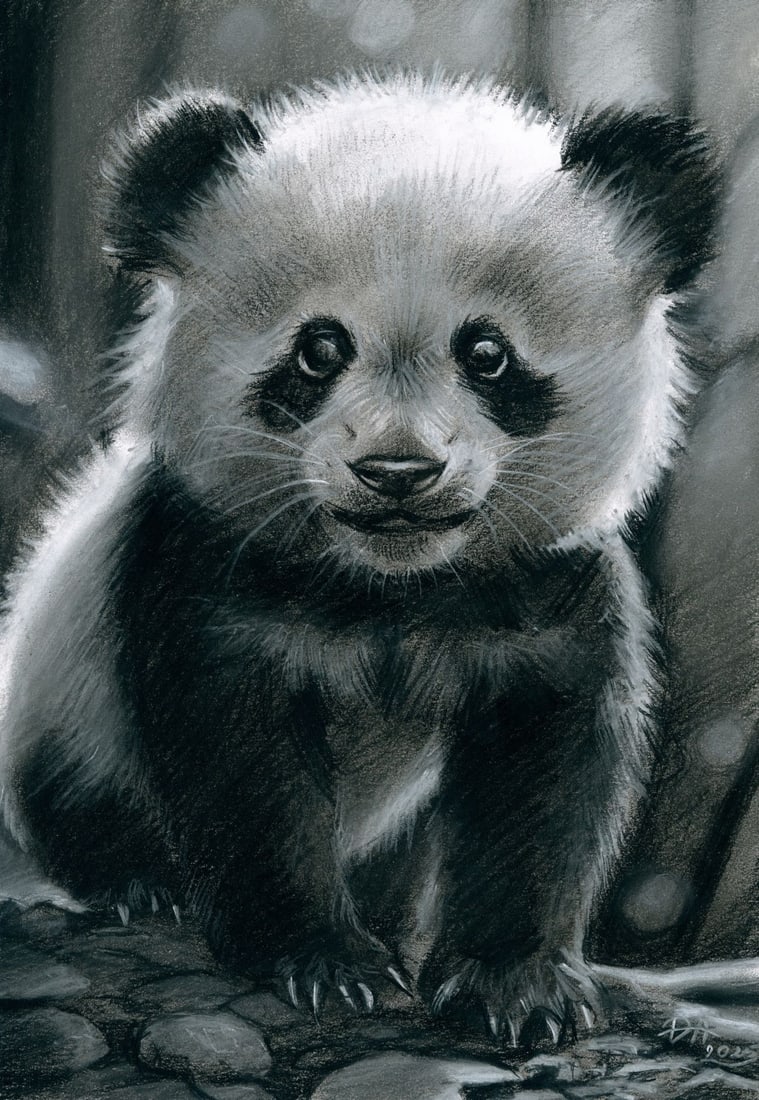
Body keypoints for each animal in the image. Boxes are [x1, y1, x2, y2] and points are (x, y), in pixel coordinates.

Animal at [0, 74, 718, 1045]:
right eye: (319, 348)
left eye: (486, 353)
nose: (397, 472)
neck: (391, 586)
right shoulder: (208, 565)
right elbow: (245, 766)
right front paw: (324, 963)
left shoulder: (547, 589)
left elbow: (545, 773)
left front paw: (514, 986)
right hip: (64, 697)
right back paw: (138, 886)